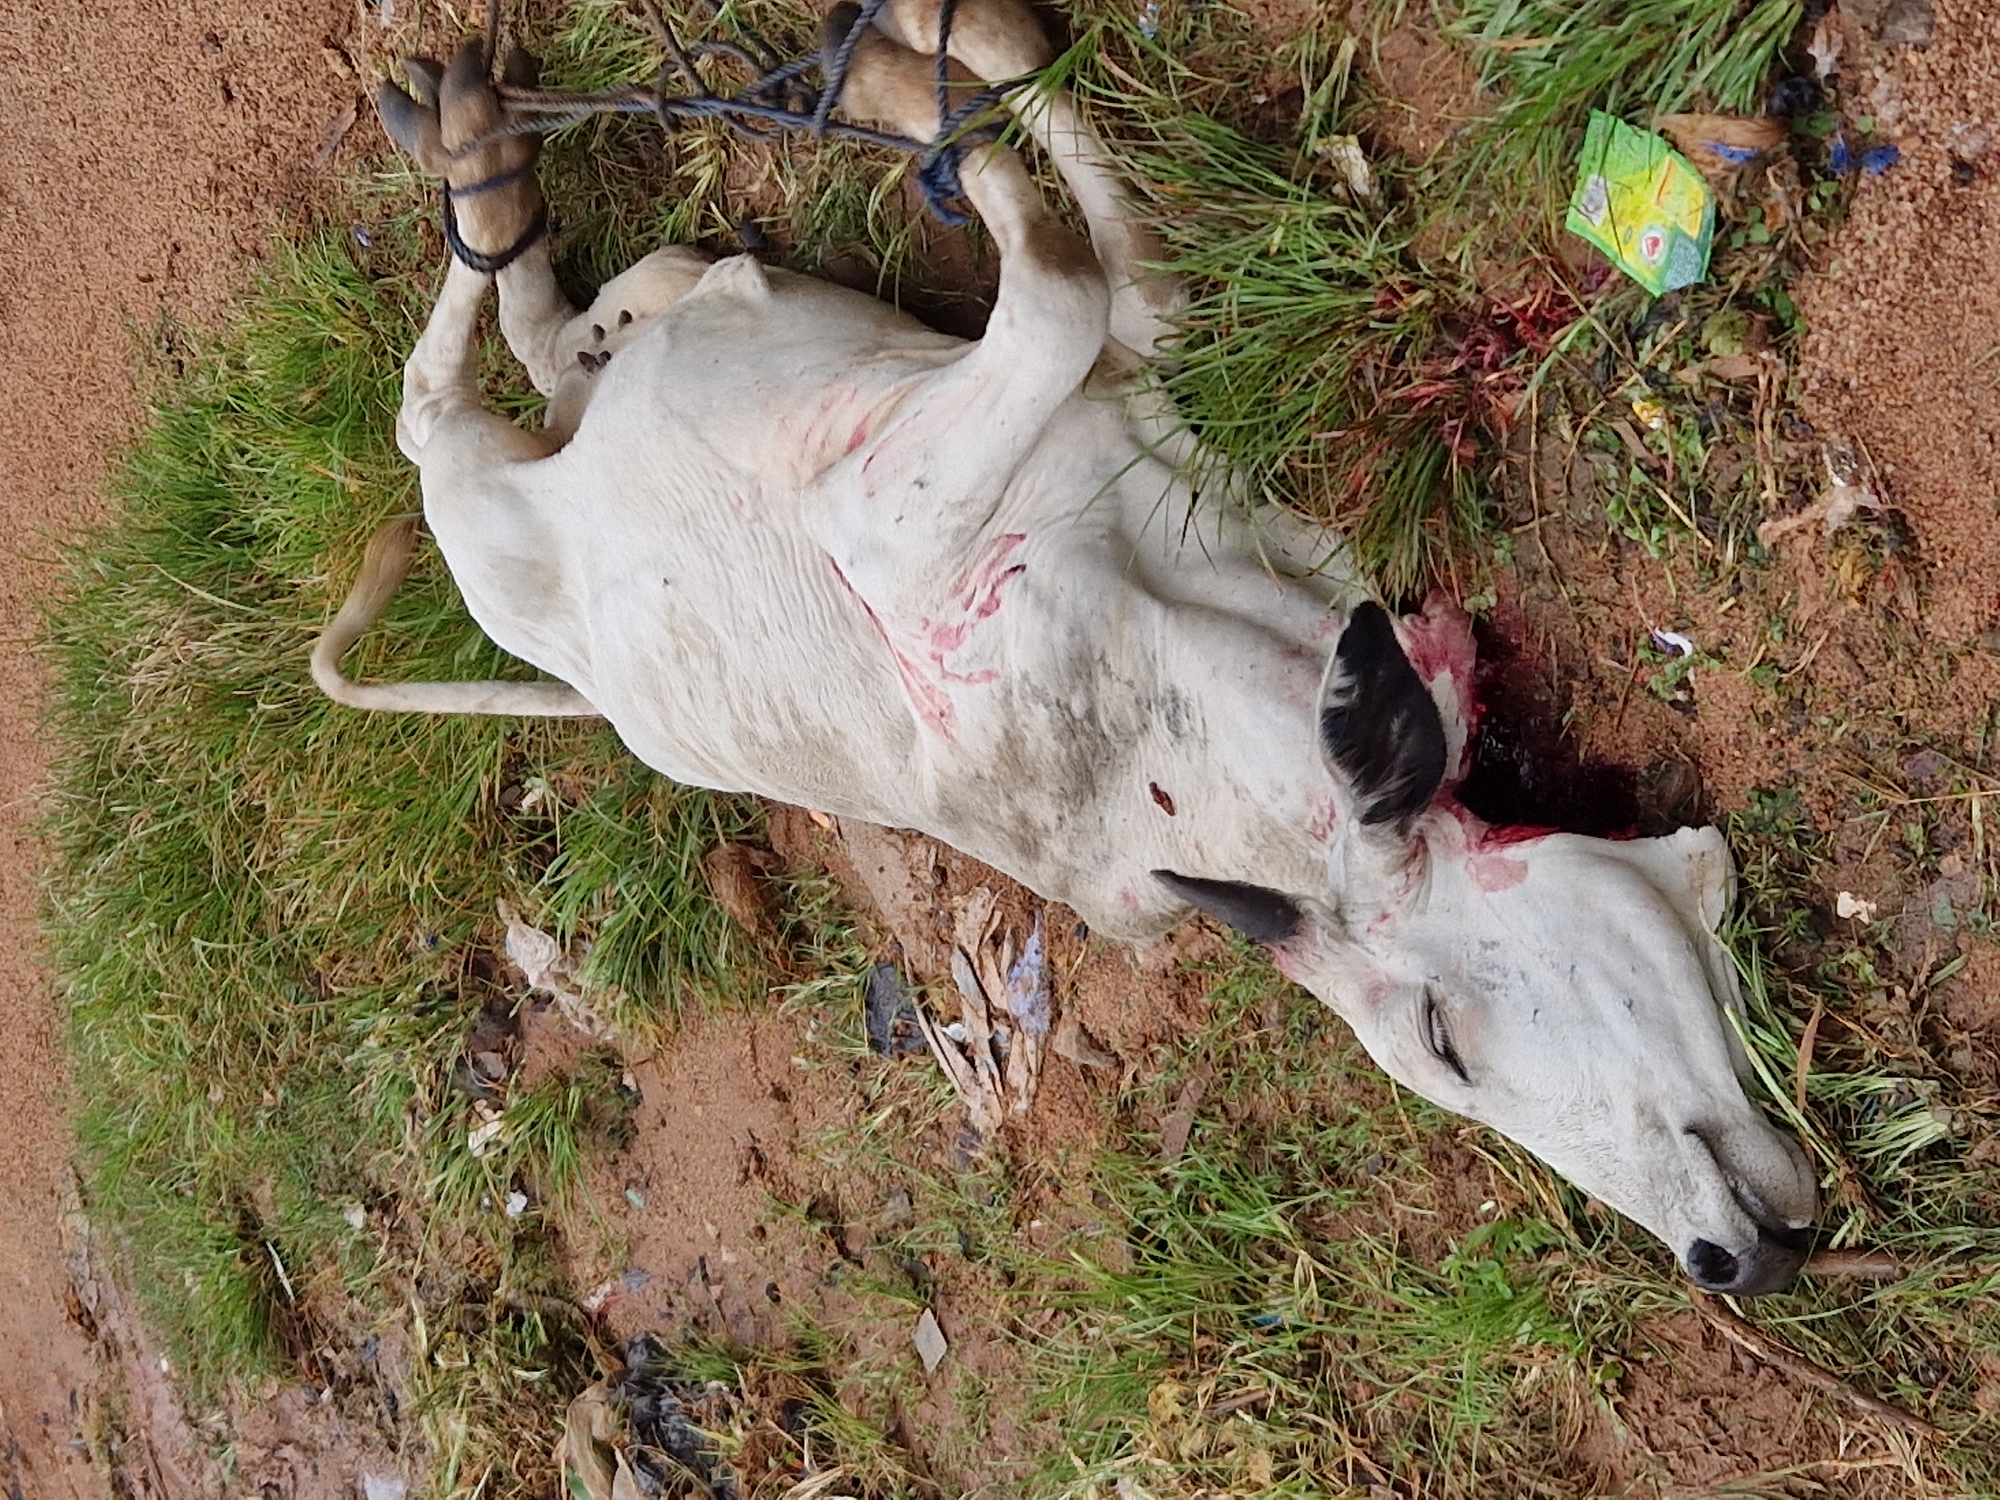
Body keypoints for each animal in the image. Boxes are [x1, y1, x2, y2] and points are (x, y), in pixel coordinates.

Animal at [320, 0, 1819, 1294]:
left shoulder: (1151, 410)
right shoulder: (900, 504)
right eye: (1443, 1044)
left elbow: (1094, 242)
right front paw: (890, 78)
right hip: (480, 523)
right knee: (426, 406)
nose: (1720, 1260)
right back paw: (476, 157)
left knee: (558, 339)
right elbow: (1051, 278)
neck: (1165, 638)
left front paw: (929, 53)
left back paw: (530, 210)